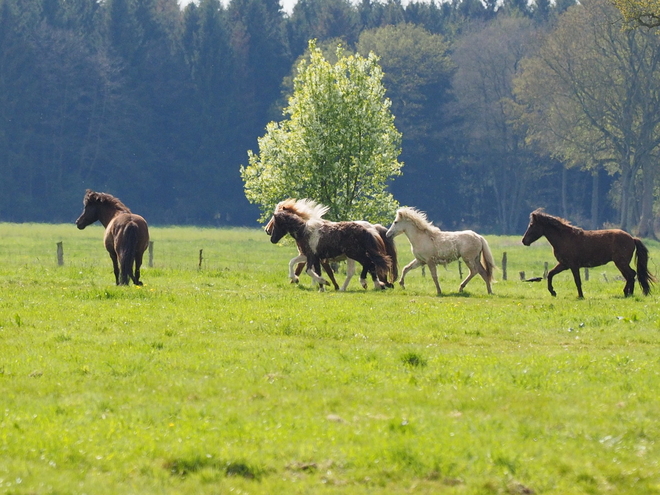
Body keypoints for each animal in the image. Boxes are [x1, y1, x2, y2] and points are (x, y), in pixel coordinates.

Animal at [520, 208, 656, 298]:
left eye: (532, 225)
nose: (524, 241)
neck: (565, 238)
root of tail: (632, 238)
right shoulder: (564, 265)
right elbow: (550, 274)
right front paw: (553, 292)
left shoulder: (573, 266)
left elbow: (577, 281)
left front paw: (580, 296)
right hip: (621, 263)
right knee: (630, 275)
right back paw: (629, 294)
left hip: (620, 263)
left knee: (631, 274)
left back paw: (627, 293)